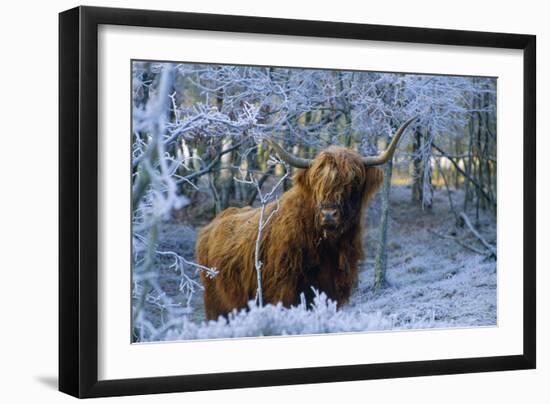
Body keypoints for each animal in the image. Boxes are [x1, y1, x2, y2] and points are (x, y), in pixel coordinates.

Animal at [196, 117, 416, 322]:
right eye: (316, 182)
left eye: (353, 182)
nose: (329, 215)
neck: (327, 248)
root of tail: (211, 225)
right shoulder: (283, 292)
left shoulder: (333, 291)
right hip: (216, 306)